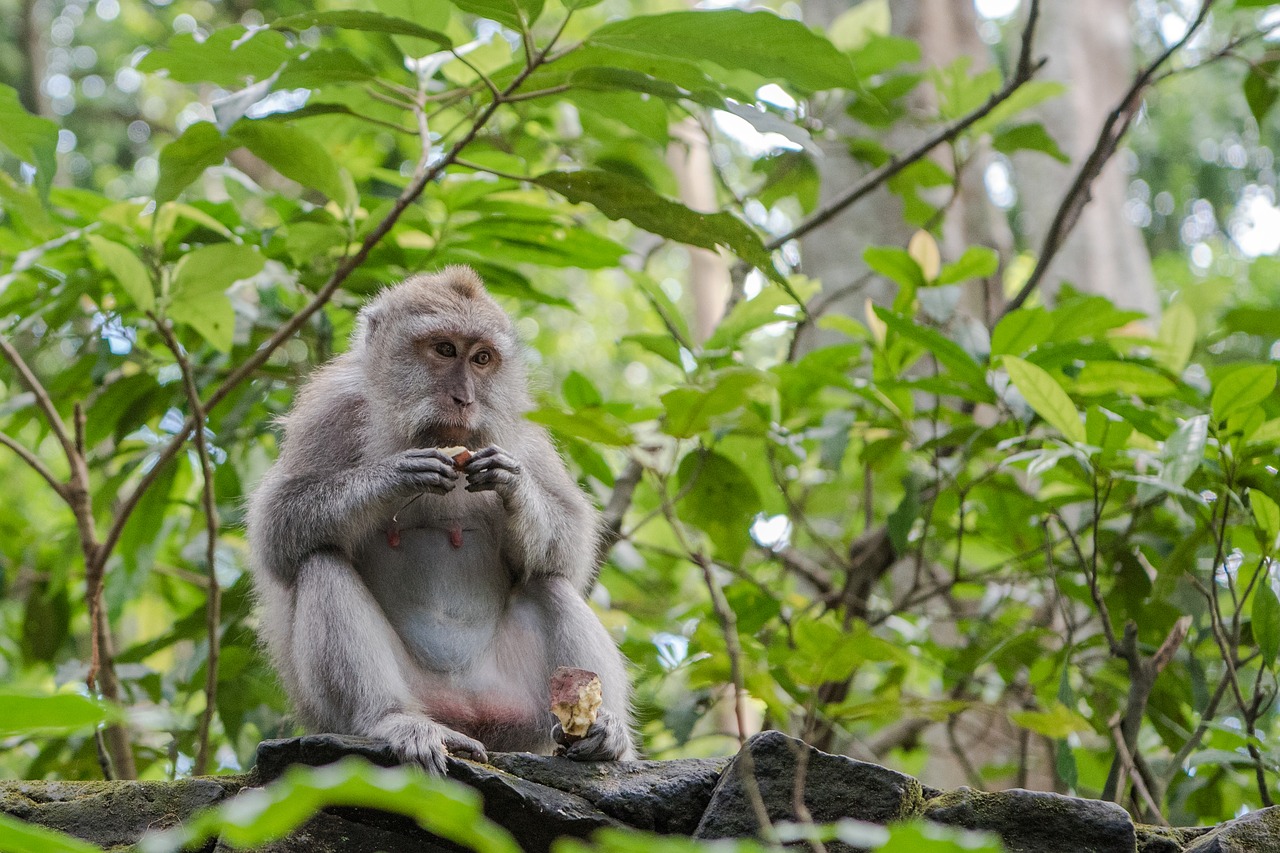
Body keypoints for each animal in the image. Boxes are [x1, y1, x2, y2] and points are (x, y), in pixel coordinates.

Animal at [244, 267, 634, 768]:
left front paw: (513, 485)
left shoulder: (522, 430)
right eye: (445, 349)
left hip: (518, 711)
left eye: (482, 358)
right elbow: (278, 528)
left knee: (549, 582)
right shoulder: (331, 410)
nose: (465, 398)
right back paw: (392, 720)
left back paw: (606, 735)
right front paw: (395, 475)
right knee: (321, 561)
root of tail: (464, 715)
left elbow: (571, 544)